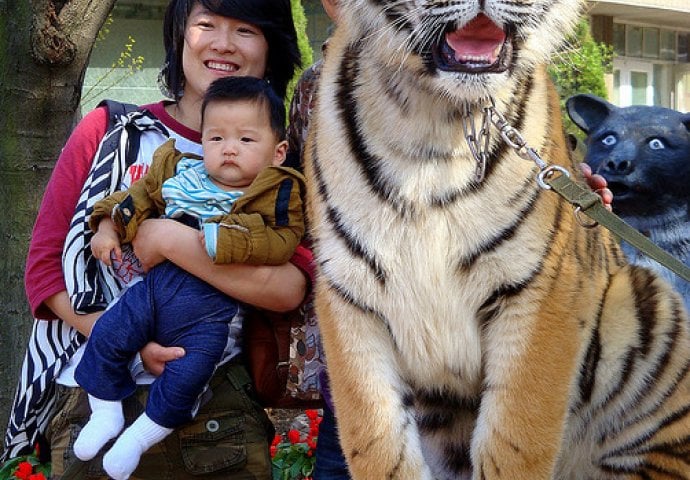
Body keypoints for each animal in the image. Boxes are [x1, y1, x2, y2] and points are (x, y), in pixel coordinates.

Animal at [304, 0, 688, 476]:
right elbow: (375, 445)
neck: (435, 118)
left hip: (646, 299)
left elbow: (516, 441)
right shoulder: (350, 297)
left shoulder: (541, 290)